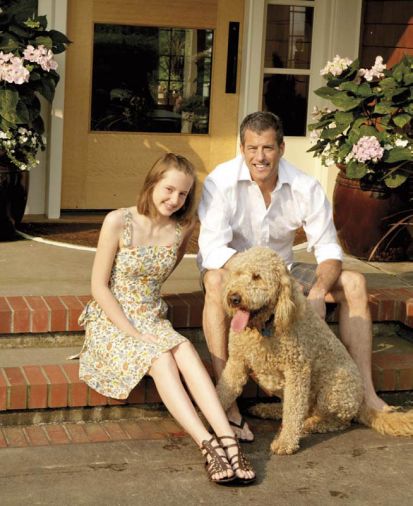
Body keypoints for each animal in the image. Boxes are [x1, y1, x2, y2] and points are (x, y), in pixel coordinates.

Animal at [216, 245, 412, 454]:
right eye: (237, 274)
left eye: (257, 276)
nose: (234, 298)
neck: (266, 326)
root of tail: (360, 403)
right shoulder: (236, 363)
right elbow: (222, 392)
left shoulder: (297, 371)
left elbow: (293, 410)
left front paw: (286, 443)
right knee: (298, 409)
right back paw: (269, 409)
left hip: (333, 389)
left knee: (334, 420)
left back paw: (309, 424)